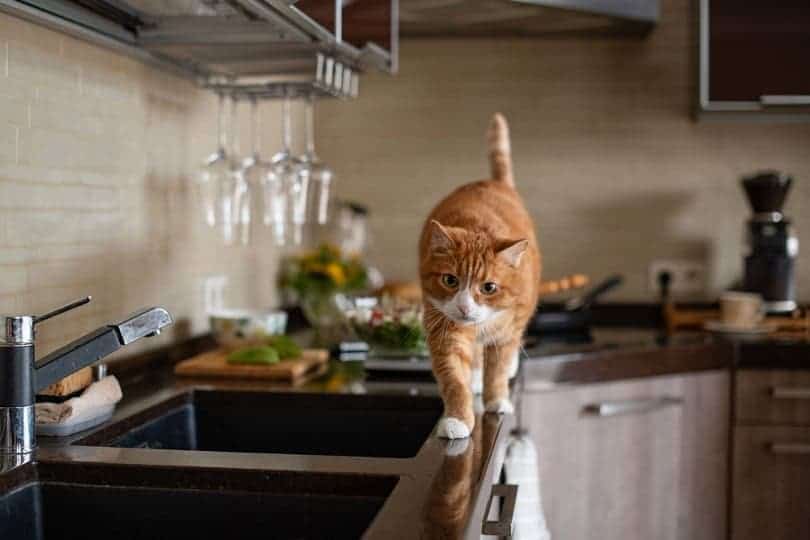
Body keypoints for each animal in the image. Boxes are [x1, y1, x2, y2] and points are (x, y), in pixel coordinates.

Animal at [420, 114, 540, 438]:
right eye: (450, 281)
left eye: (489, 287)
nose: (464, 307)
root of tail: (493, 182)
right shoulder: (445, 331)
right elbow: (454, 380)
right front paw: (458, 418)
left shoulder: (506, 334)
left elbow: (496, 371)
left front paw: (497, 400)